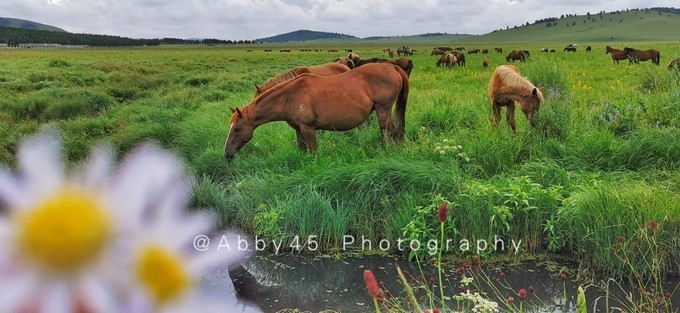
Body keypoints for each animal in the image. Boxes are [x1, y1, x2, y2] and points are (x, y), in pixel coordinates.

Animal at [224, 62, 410, 158]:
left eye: (238, 128)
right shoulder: (299, 130)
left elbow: (313, 152)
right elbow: (303, 151)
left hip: (383, 111)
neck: (290, 97)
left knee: (388, 133)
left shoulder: (308, 129)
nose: (227, 153)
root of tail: (393, 67)